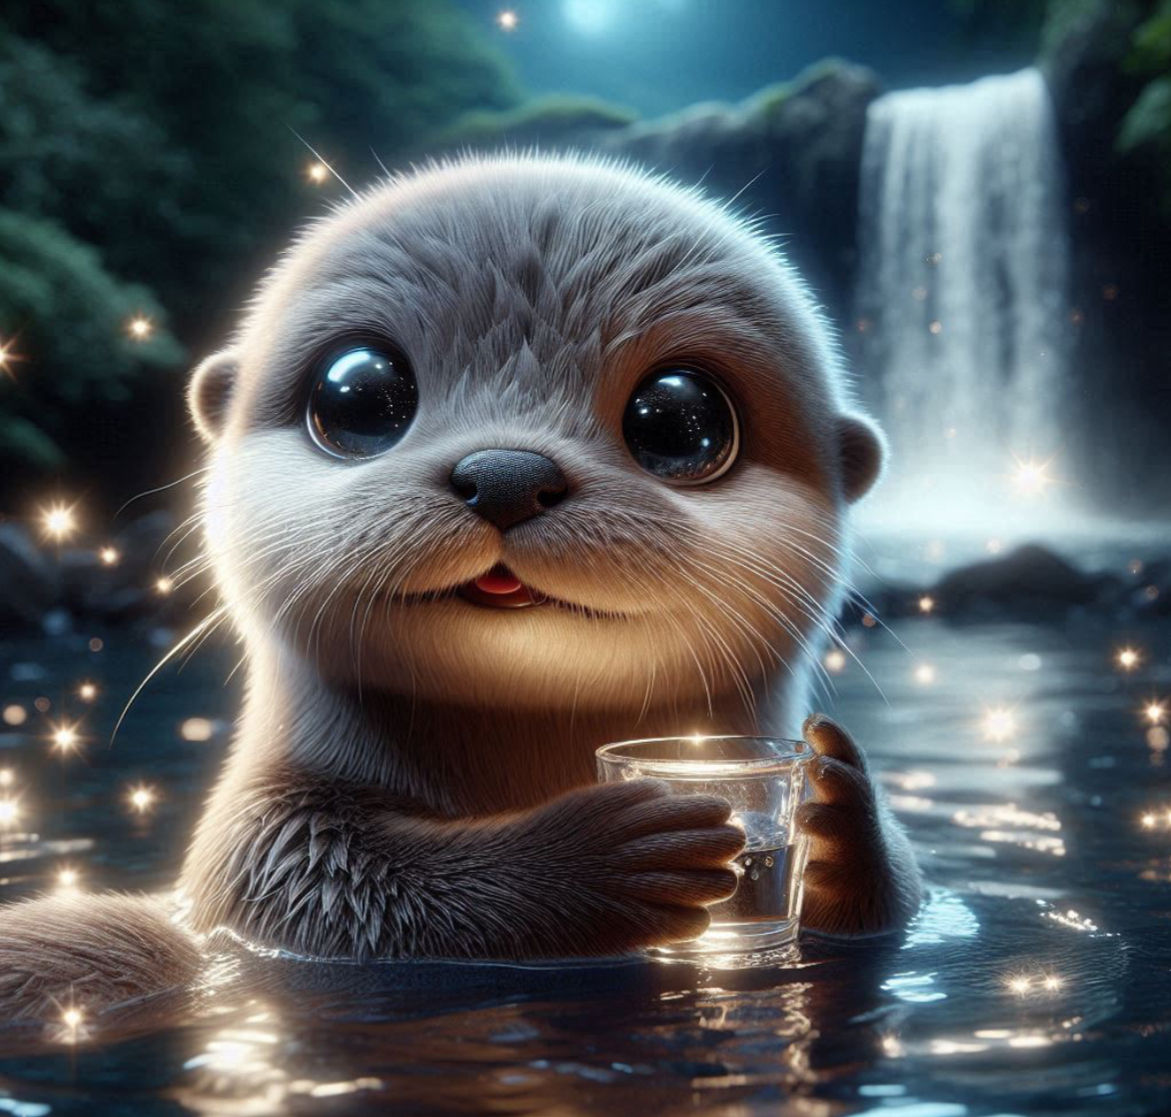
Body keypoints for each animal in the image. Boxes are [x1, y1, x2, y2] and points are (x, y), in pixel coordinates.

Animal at [0, 154, 920, 1017]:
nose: (507, 473)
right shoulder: (251, 851)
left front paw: (839, 811)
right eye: (357, 394)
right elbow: (336, 893)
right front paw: (600, 852)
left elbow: (901, 898)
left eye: (679, 418)